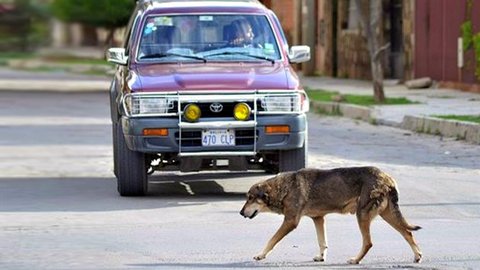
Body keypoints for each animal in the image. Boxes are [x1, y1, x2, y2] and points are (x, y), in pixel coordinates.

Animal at [239, 167, 420, 264]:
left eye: (250, 198)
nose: (240, 213)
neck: (284, 188)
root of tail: (388, 178)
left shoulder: (290, 222)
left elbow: (272, 240)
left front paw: (261, 255)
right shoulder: (318, 219)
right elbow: (322, 242)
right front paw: (321, 257)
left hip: (362, 216)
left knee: (368, 243)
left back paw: (355, 260)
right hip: (387, 215)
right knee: (407, 233)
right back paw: (417, 256)